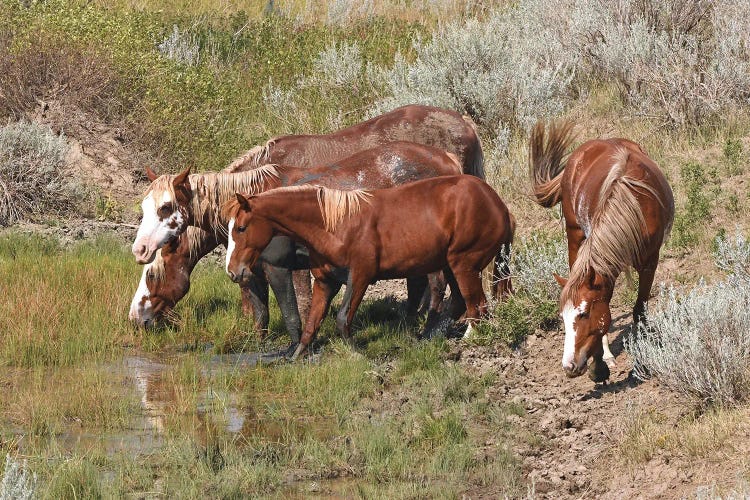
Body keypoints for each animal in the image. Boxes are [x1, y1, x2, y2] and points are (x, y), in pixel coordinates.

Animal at [223, 176, 516, 360]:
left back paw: (467, 342)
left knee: (477, 306)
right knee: (461, 303)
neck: (335, 224)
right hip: (452, 265)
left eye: (242, 228)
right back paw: (428, 337)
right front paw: (296, 355)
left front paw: (356, 352)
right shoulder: (326, 281)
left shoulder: (360, 276)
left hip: (464, 264)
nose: (233, 271)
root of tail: (500, 206)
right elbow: (312, 323)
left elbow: (343, 317)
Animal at [532, 121, 680, 382]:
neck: (634, 207)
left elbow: (639, 309)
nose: (568, 366)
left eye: (583, 314)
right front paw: (599, 364)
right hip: (575, 235)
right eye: (562, 317)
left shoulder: (650, 262)